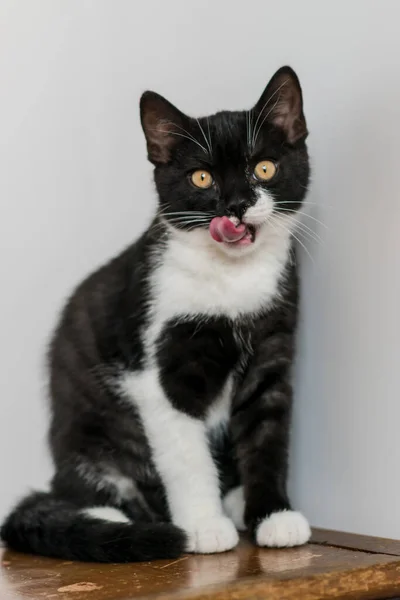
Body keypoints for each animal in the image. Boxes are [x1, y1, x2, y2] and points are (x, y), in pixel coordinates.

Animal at [0, 67, 312, 564]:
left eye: (264, 168)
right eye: (202, 177)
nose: (235, 205)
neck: (230, 279)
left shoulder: (272, 350)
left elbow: (268, 437)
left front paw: (274, 516)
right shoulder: (156, 366)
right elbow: (185, 455)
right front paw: (204, 526)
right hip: (85, 435)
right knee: (84, 487)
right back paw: (110, 519)